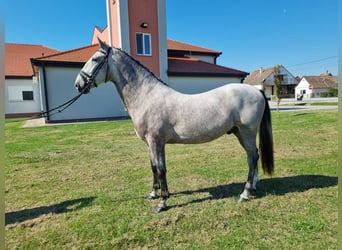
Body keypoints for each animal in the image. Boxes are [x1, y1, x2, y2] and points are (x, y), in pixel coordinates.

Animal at [75, 39, 276, 213]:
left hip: (247, 132)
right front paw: (153, 194)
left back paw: (245, 193)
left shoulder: (156, 141)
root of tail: (257, 91)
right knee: (253, 156)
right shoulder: (151, 144)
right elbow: (154, 167)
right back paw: (253, 186)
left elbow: (161, 169)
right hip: (239, 133)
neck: (147, 96)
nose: (78, 84)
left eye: (95, 59)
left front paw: (162, 202)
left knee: (252, 157)